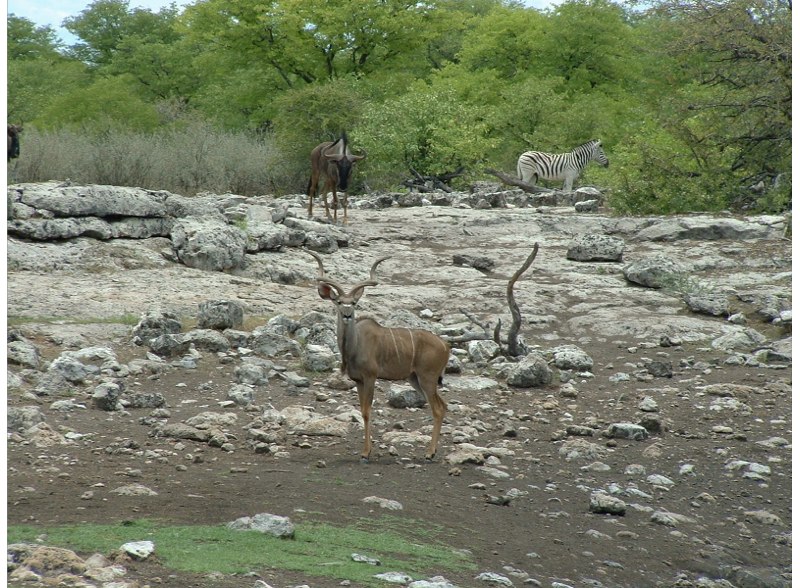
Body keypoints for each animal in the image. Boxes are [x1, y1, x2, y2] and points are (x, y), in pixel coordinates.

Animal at [306, 250, 451, 462]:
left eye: (354, 302)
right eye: (339, 302)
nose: (347, 314)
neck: (355, 346)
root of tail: (446, 346)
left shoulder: (370, 377)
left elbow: (367, 411)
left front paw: (366, 453)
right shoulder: (358, 380)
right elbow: (362, 410)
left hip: (428, 378)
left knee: (438, 408)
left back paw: (430, 453)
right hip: (415, 379)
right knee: (443, 405)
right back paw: (433, 451)